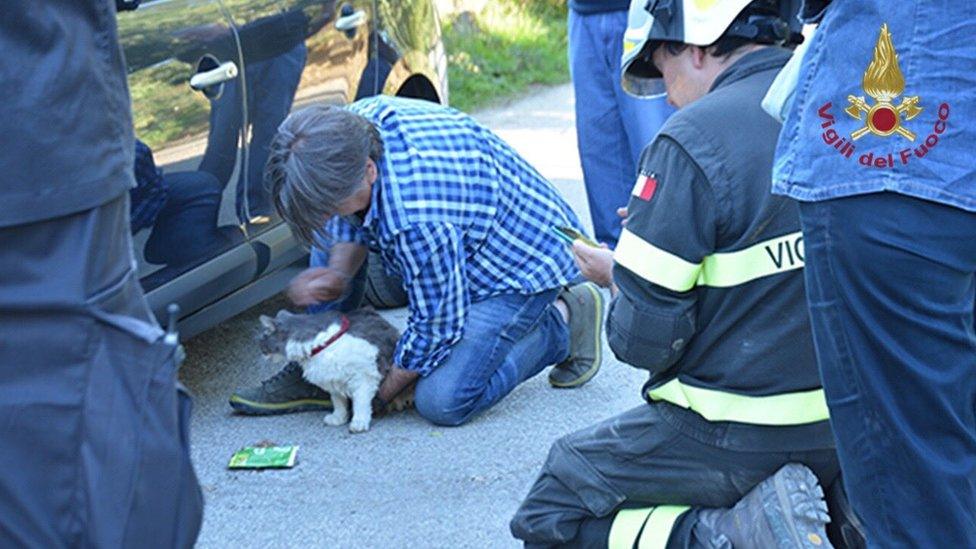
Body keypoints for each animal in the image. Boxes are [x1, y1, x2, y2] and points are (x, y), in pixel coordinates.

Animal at [258, 308, 402, 432]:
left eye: (262, 339)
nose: (261, 352)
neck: (321, 346)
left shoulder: (364, 378)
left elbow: (360, 403)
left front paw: (359, 422)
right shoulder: (332, 381)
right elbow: (338, 403)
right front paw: (339, 418)